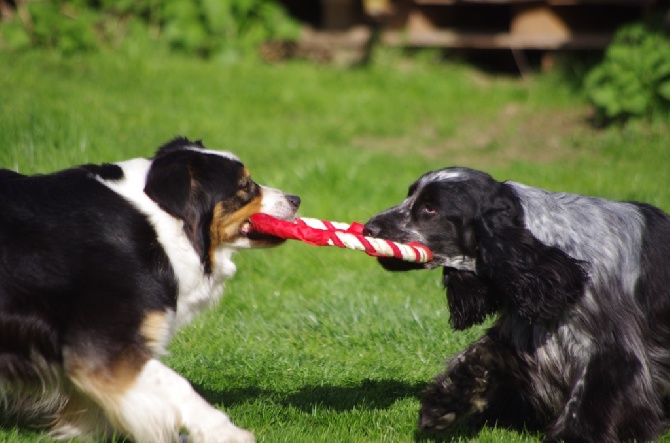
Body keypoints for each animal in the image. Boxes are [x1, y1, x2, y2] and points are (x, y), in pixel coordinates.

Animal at [0, 137, 300, 442]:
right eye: (245, 186)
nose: (296, 199)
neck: (162, 225)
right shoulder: (103, 339)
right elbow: (175, 385)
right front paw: (225, 432)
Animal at [364, 167, 670, 443]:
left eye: (430, 209)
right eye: (409, 196)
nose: (368, 228)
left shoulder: (611, 349)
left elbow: (589, 399)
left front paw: (572, 437)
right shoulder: (522, 331)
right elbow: (478, 356)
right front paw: (441, 406)